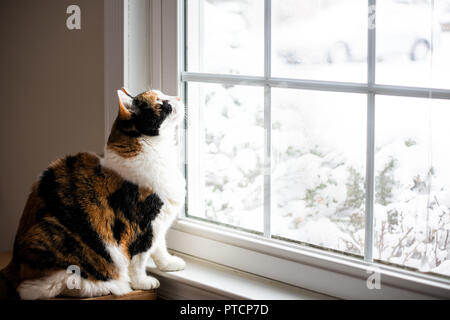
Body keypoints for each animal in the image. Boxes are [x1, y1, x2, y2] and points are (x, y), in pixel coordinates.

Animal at [0, 87, 186, 300]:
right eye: (162, 102)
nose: (178, 97)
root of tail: (11, 266)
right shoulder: (141, 225)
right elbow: (139, 259)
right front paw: (143, 282)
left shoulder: (158, 221)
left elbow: (160, 246)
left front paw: (168, 263)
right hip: (53, 240)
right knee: (44, 287)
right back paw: (110, 286)